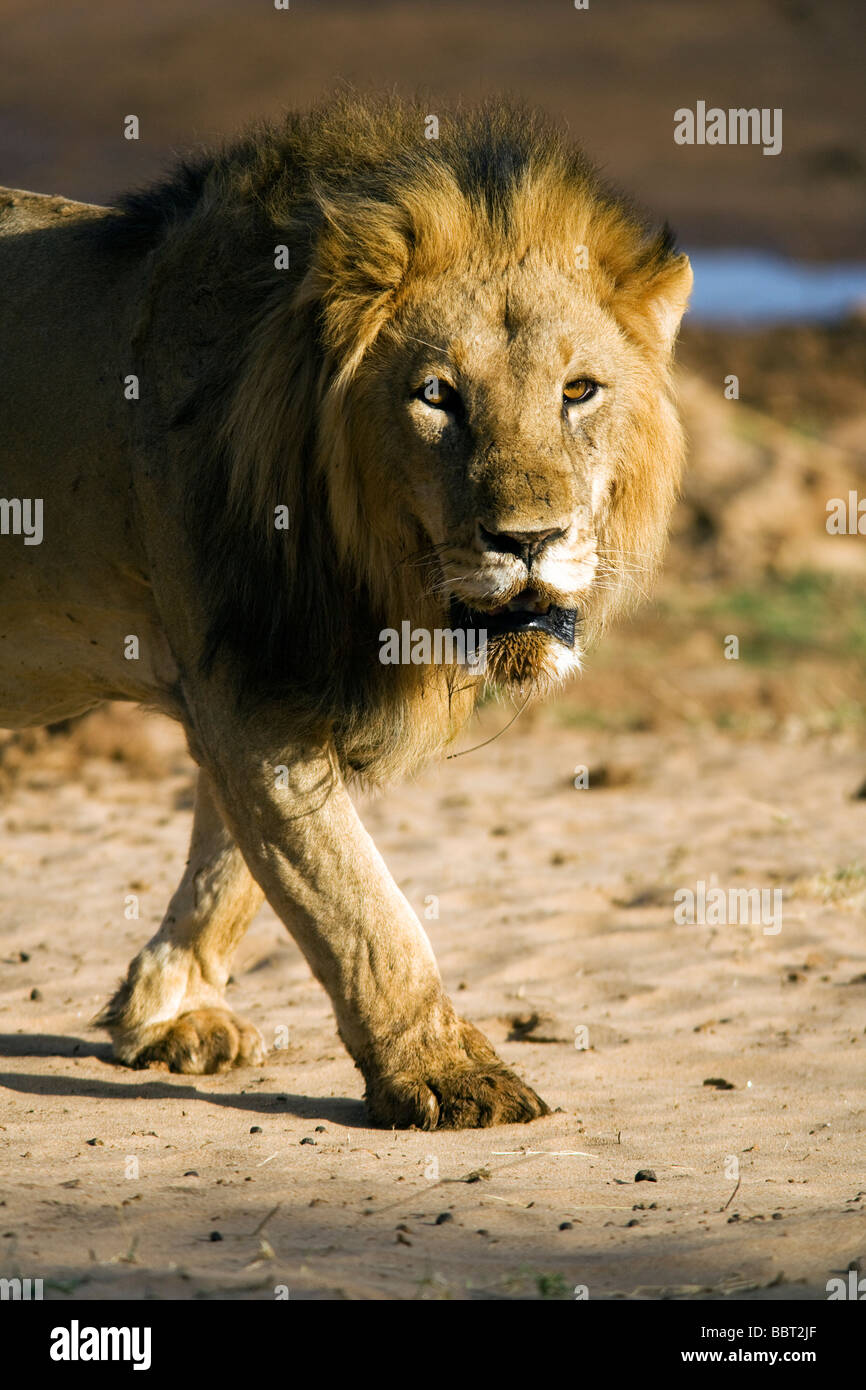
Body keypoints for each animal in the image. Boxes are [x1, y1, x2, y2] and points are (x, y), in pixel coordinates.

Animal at [0, 94, 691, 1128]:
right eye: (438, 396)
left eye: (579, 391)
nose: (529, 539)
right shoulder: (249, 684)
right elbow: (356, 902)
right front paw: (446, 1075)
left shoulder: (266, 675)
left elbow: (234, 864)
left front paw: (169, 1009)